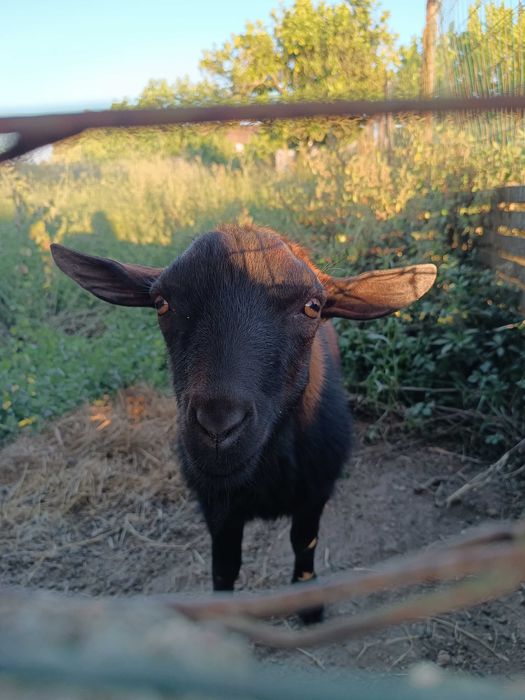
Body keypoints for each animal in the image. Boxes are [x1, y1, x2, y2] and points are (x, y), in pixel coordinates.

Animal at [51, 224, 436, 621]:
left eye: (312, 307)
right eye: (161, 303)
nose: (218, 426)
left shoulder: (315, 493)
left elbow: (304, 545)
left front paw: (309, 606)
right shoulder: (215, 505)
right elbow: (225, 565)